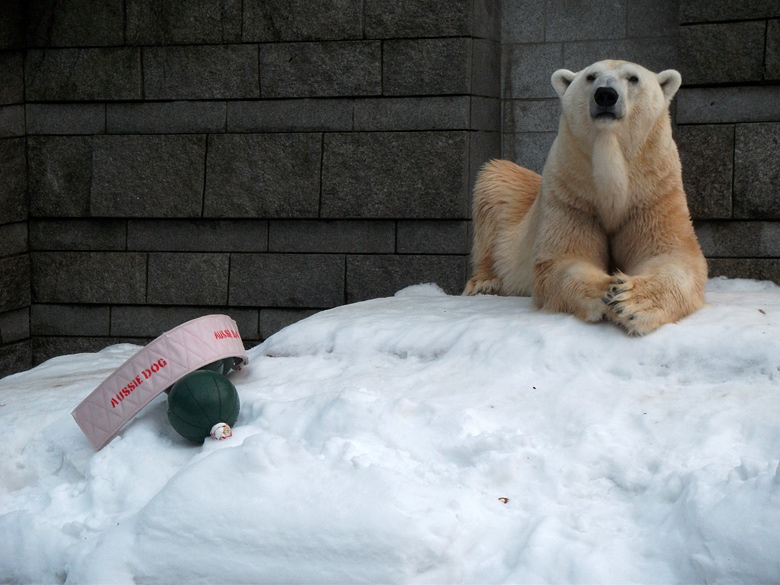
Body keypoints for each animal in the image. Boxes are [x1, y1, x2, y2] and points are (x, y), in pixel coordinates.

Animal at [464, 60, 708, 336]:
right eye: (591, 76)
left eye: (633, 78)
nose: (606, 95)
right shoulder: (571, 194)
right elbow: (564, 258)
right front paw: (608, 290)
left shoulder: (654, 192)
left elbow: (673, 256)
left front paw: (629, 301)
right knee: (496, 182)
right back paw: (485, 283)